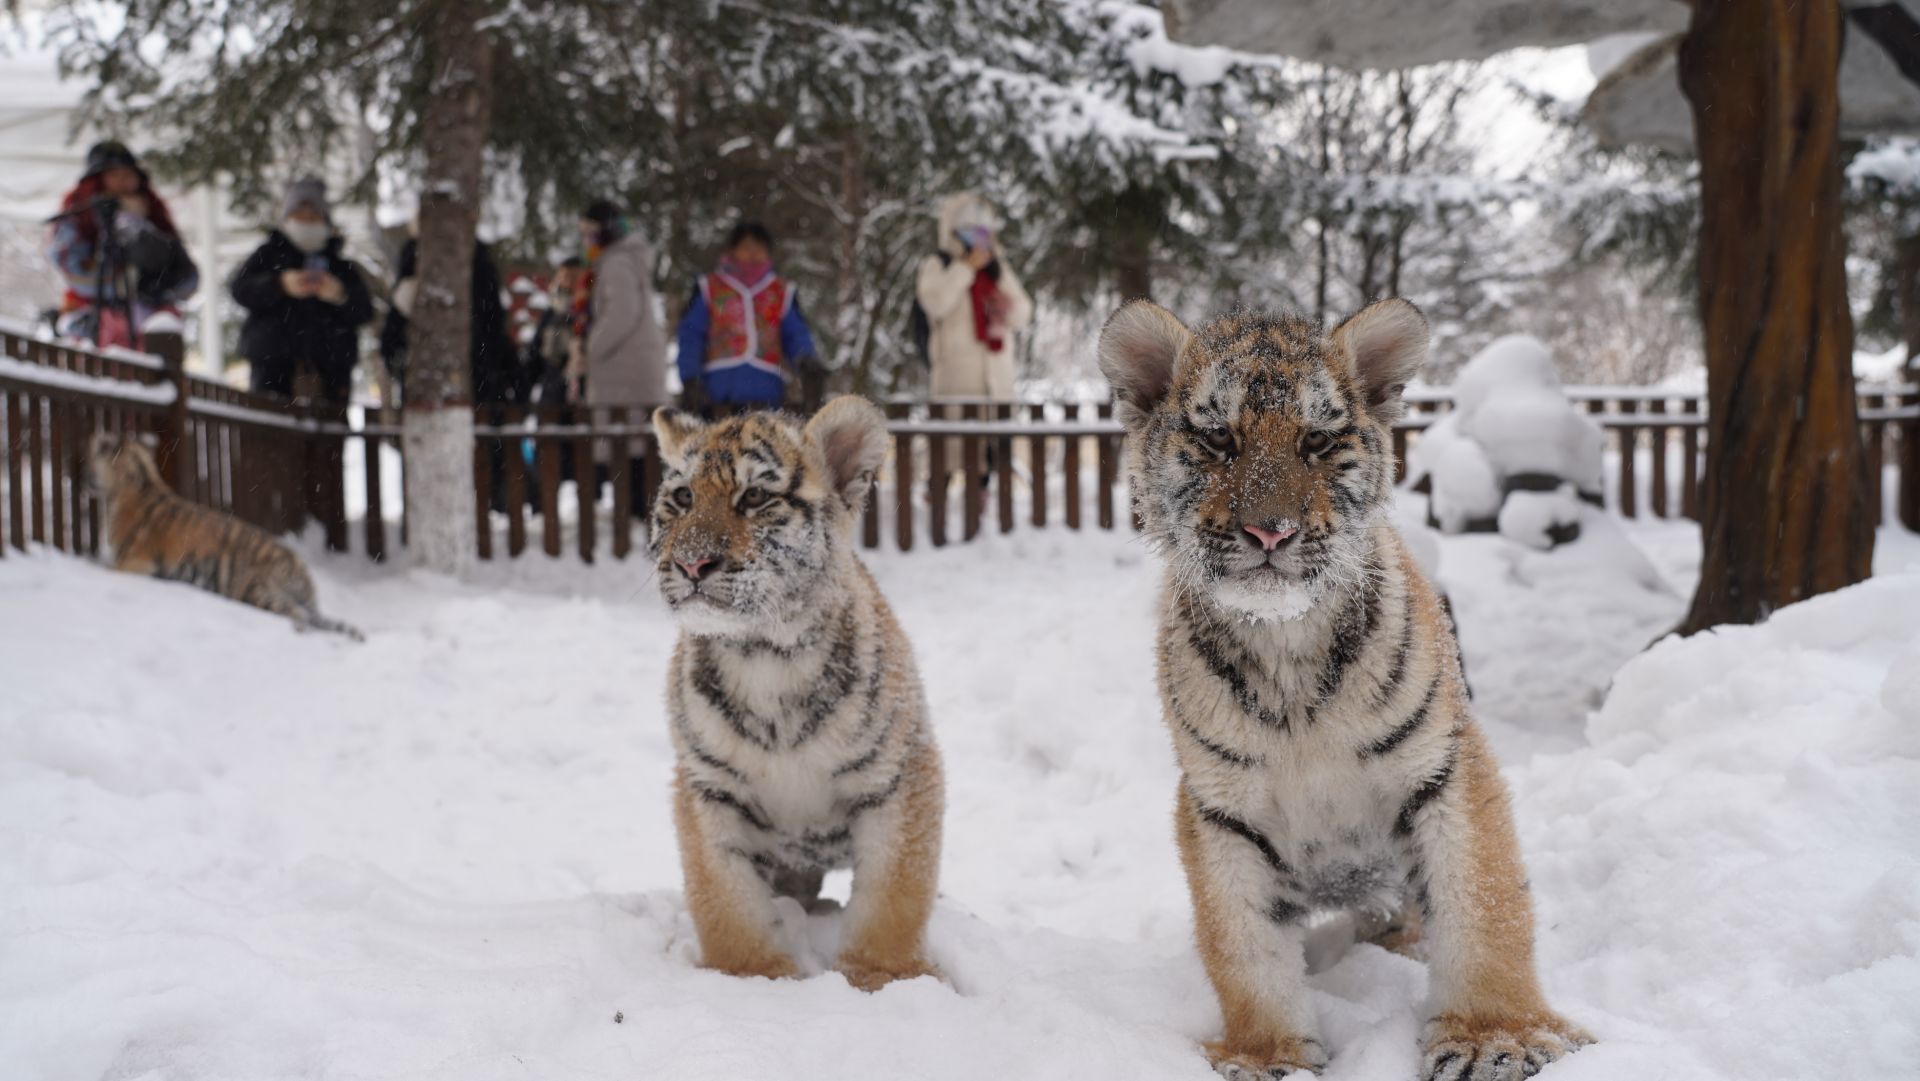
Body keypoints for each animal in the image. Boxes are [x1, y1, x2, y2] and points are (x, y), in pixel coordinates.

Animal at [87, 432, 362, 640]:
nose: (84, 476)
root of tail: (298, 565)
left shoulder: (133, 561)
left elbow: (108, 570)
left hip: (254, 590)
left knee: (296, 614)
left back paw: (296, 630)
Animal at [649, 396, 943, 991]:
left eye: (755, 497)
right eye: (683, 497)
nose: (691, 563)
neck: (766, 654)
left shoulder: (901, 772)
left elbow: (895, 893)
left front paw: (886, 979)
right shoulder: (707, 785)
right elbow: (723, 896)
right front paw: (754, 977)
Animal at [1097, 299, 1590, 1081]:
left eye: (1319, 440)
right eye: (1217, 437)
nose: (1270, 531)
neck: (1286, 651)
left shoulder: (1445, 765)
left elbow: (1483, 902)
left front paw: (1497, 1036)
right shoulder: (1218, 807)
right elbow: (1241, 943)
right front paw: (1265, 1054)